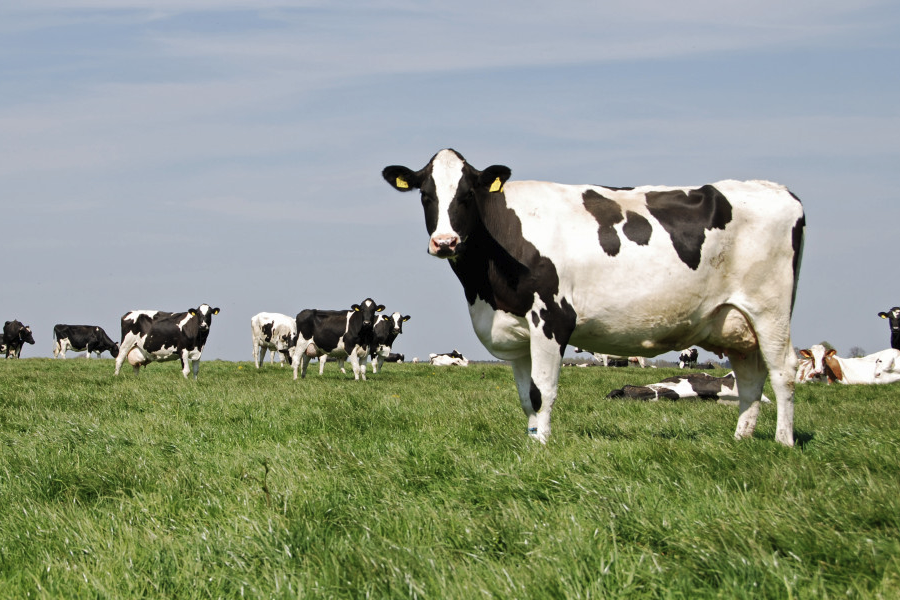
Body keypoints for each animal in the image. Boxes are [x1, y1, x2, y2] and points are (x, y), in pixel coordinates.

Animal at [384, 150, 804, 446]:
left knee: (783, 371)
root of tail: (778, 190)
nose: (445, 242)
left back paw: (783, 442)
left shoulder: (552, 318)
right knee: (750, 379)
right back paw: (741, 440)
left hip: (770, 310)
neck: (485, 289)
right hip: (736, 323)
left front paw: (542, 448)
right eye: (425, 195)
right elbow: (526, 396)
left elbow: (542, 391)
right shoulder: (516, 333)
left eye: (468, 194)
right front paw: (530, 443)